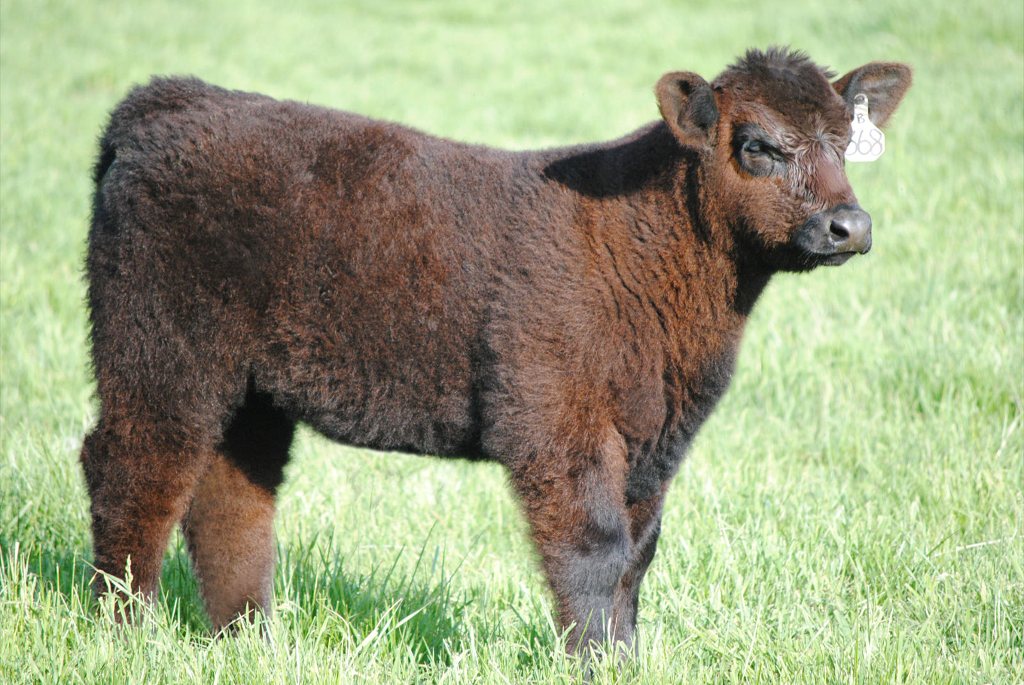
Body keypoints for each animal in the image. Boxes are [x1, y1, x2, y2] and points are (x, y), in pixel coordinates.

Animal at [81, 47, 911, 655]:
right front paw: (594, 663)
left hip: (249, 385)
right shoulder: (555, 424)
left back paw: (248, 639)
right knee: (134, 469)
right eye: (758, 146)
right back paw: (123, 636)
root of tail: (169, 100)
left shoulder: (655, 440)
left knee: (230, 492)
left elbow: (637, 558)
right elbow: (594, 549)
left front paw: (626, 659)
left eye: (846, 143)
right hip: (159, 348)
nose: (850, 225)